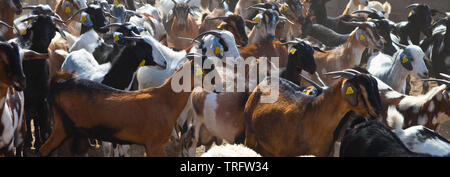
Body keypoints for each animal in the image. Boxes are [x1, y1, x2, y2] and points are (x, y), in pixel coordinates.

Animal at [37, 53, 210, 156]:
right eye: (207, 68)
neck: (165, 98)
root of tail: (57, 86)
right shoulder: (154, 144)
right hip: (63, 127)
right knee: (44, 149)